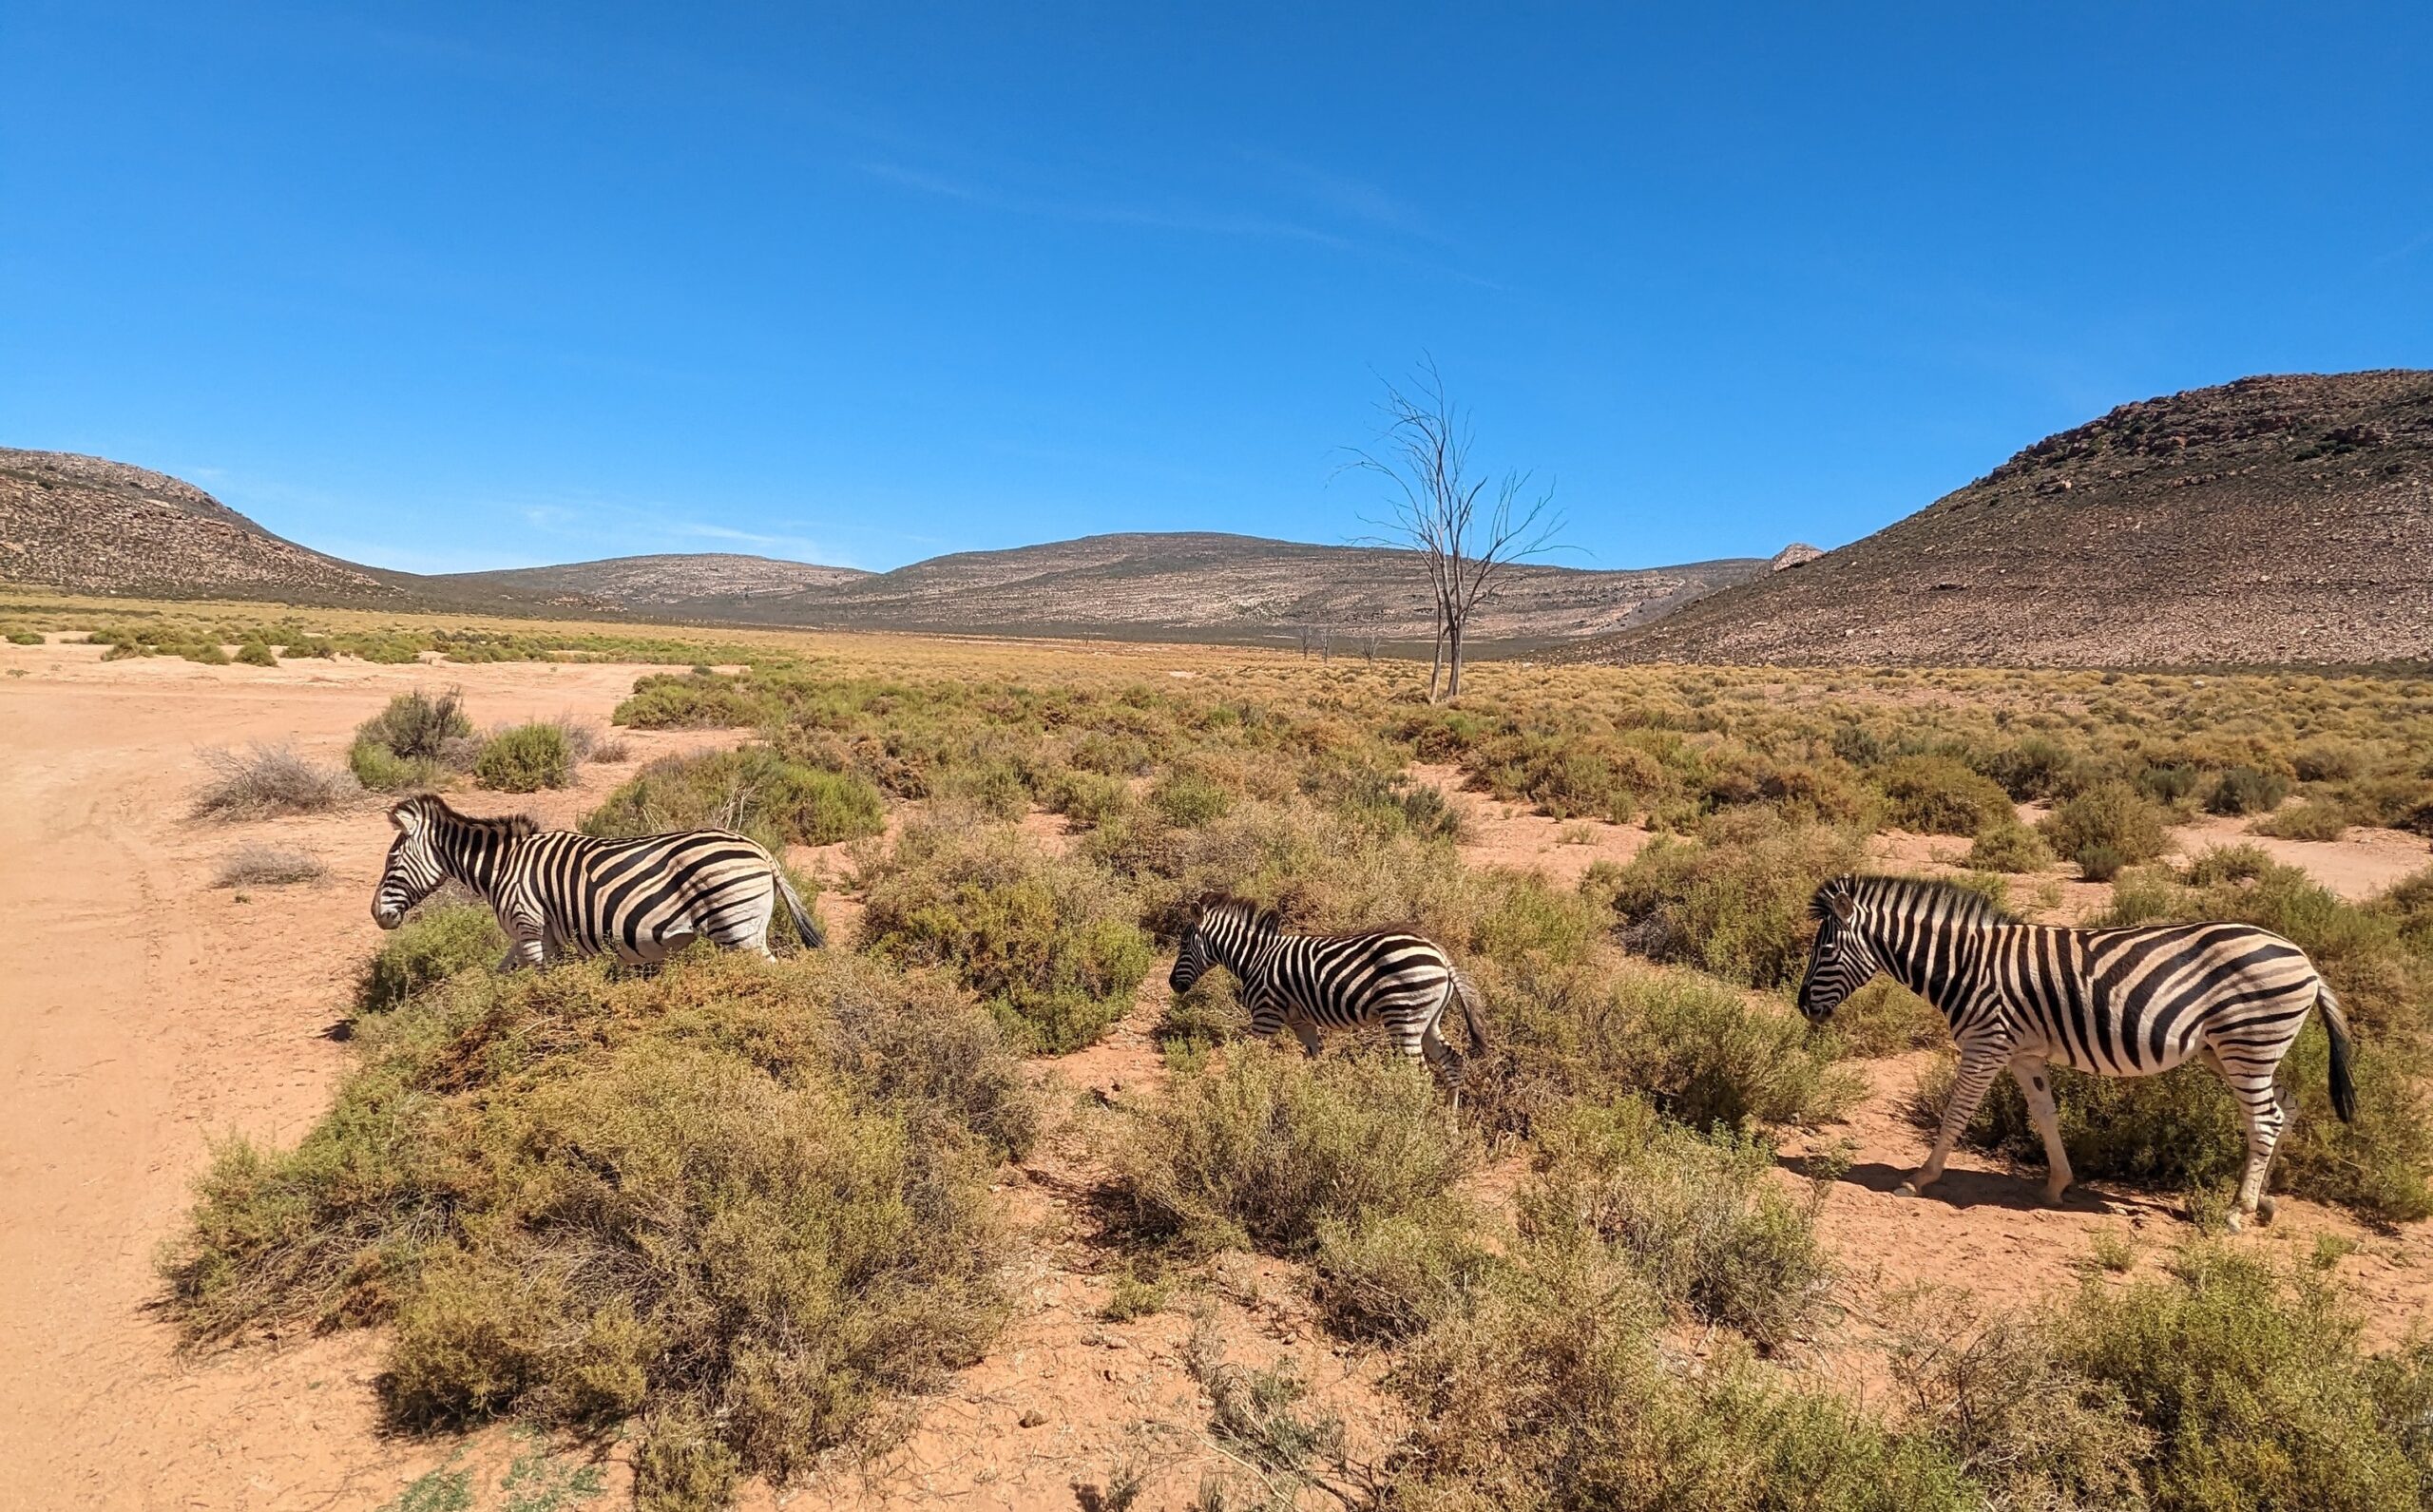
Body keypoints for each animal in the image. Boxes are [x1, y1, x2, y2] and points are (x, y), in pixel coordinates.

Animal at [371, 793, 823, 970]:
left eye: (392, 859)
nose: (377, 915)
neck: (503, 867)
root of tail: (760, 849)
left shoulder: (530, 929)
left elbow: (539, 985)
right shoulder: (531, 937)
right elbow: (500, 976)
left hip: (737, 929)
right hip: (744, 928)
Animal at [1168, 894, 1488, 1101]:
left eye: (1184, 945)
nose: (1172, 984)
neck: (1256, 958)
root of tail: (1440, 955)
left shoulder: (1265, 1016)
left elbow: (1249, 1059)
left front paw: (1244, 1094)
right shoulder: (1302, 1023)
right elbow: (1313, 1061)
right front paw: (1312, 1102)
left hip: (1404, 1017)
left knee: (1419, 1076)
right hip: (1427, 1018)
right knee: (1452, 1061)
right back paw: (1448, 1127)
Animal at [1796, 873, 2355, 1229]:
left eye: (1826, 951)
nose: (1802, 1007)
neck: (1965, 965)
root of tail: (2305, 958)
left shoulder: (1986, 1043)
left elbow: (1958, 1111)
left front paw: (1919, 1179)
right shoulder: (2022, 1053)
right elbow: (2044, 1113)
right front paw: (2057, 1185)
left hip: (2247, 1043)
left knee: (2264, 1119)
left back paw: (2238, 1211)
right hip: (2235, 1050)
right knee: (2286, 1107)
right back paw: (2262, 1201)